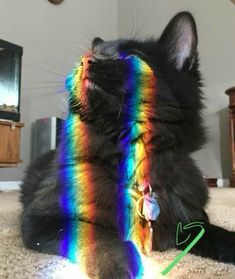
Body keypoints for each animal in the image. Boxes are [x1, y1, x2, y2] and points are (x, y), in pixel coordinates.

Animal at [20, 11, 235, 279]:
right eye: (95, 52)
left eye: (132, 56)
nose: (86, 60)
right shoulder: (44, 218)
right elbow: (102, 238)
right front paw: (121, 267)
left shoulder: (191, 220)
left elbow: (220, 236)